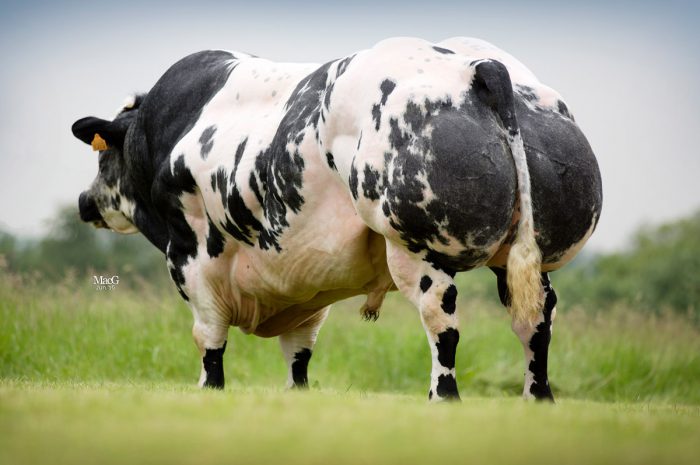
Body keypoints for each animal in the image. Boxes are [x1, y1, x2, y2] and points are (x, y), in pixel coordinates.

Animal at [73, 37, 602, 402]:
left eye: (103, 156)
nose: (84, 201)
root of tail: (479, 67)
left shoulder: (191, 253)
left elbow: (209, 336)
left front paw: (209, 390)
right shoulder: (306, 275)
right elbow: (300, 350)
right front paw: (297, 395)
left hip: (417, 248)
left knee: (443, 321)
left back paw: (443, 397)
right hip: (526, 258)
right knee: (536, 321)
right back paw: (538, 398)